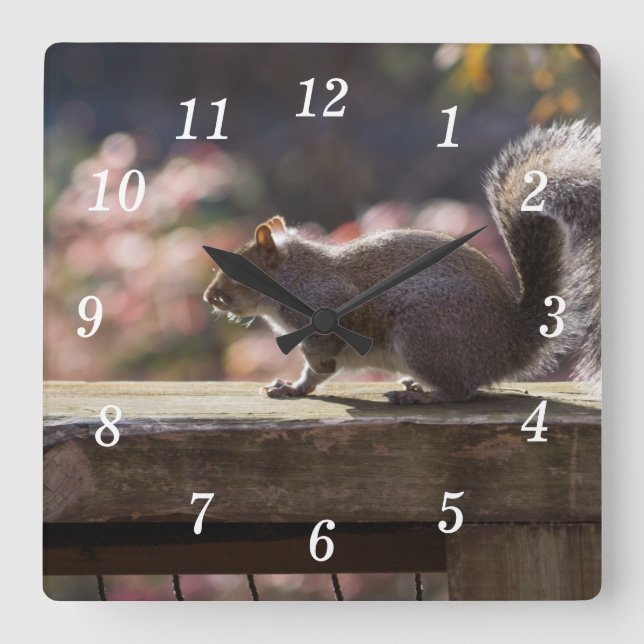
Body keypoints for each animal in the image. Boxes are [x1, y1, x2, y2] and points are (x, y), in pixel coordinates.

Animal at [204, 120, 600, 403]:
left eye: (235, 271)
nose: (210, 297)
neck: (293, 278)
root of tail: (511, 343)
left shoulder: (325, 311)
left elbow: (321, 363)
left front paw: (298, 385)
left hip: (424, 332)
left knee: (460, 391)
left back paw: (421, 396)